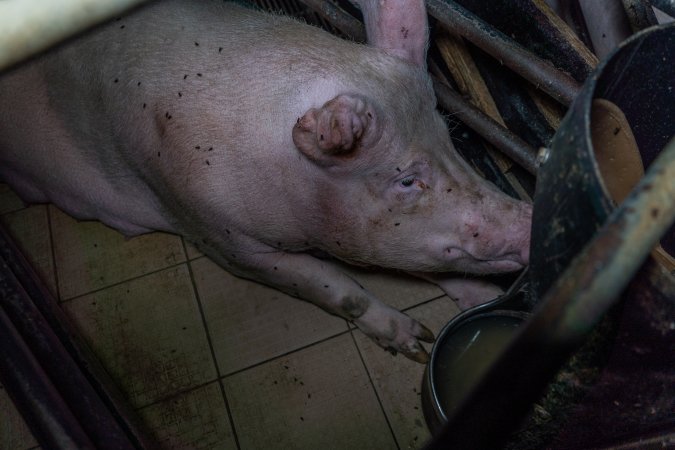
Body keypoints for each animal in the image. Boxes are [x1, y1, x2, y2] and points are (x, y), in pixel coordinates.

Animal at [0, 0, 532, 362]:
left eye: (449, 137)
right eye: (405, 181)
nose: (530, 221)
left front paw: (482, 302)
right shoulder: (219, 238)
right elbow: (338, 289)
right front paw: (415, 342)